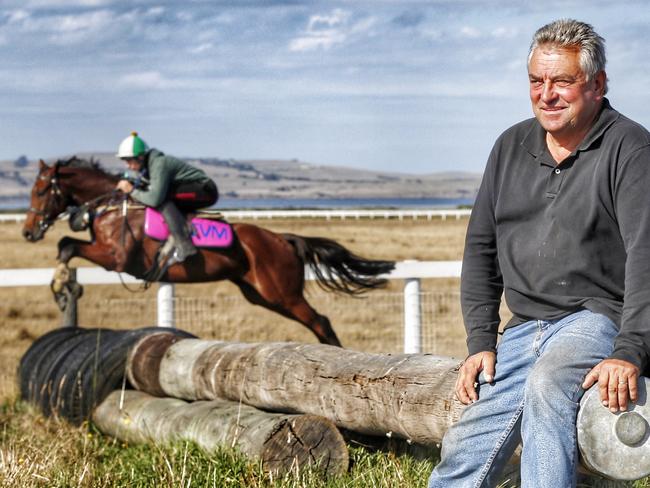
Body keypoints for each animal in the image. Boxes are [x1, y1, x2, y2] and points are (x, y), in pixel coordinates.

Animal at [21, 157, 394, 346]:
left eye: (40, 191)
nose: (28, 231)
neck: (111, 207)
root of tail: (283, 238)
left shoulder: (117, 258)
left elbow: (67, 245)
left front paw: (60, 281)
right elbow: (65, 245)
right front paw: (61, 284)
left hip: (282, 293)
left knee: (321, 322)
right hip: (261, 295)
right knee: (315, 322)